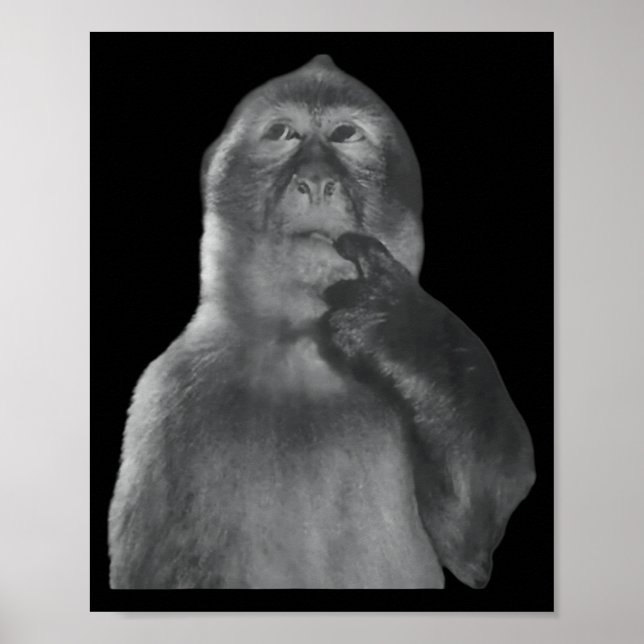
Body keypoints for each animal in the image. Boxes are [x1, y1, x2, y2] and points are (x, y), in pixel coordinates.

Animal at [108, 54, 535, 590]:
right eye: (282, 133)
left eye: (345, 134)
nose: (314, 181)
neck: (301, 350)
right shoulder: (169, 396)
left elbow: (475, 539)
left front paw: (399, 327)